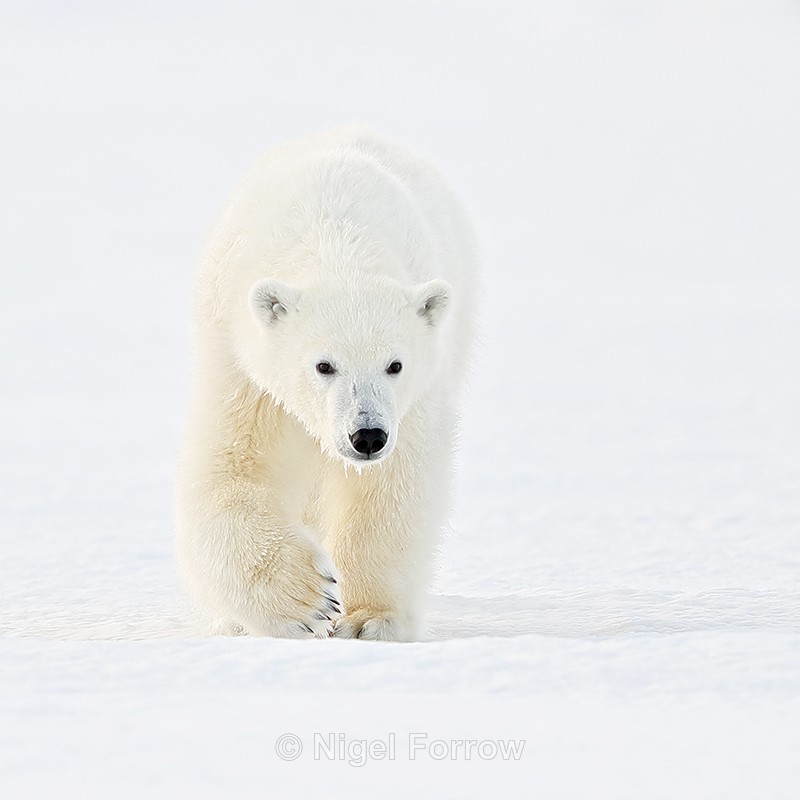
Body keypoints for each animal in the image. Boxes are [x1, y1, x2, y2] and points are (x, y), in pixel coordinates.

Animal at [175, 126, 478, 641]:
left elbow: (391, 488)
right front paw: (307, 599)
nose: (367, 436)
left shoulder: (414, 402)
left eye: (395, 365)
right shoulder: (244, 367)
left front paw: (370, 618)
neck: (336, 235)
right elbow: (233, 466)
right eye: (323, 365)